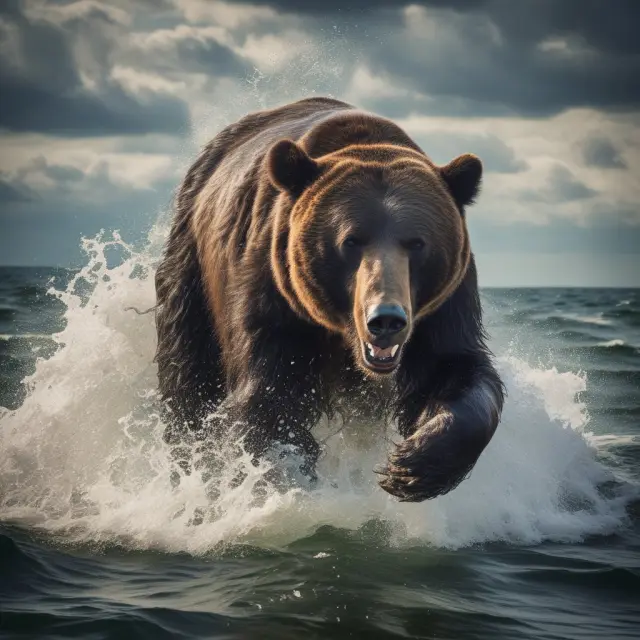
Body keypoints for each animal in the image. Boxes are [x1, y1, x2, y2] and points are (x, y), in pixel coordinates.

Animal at [154, 96, 505, 502]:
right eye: (351, 240)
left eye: (417, 242)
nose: (386, 319)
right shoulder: (275, 295)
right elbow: (268, 397)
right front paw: (288, 473)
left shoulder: (442, 307)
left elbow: (457, 372)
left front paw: (411, 466)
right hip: (193, 269)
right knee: (187, 372)